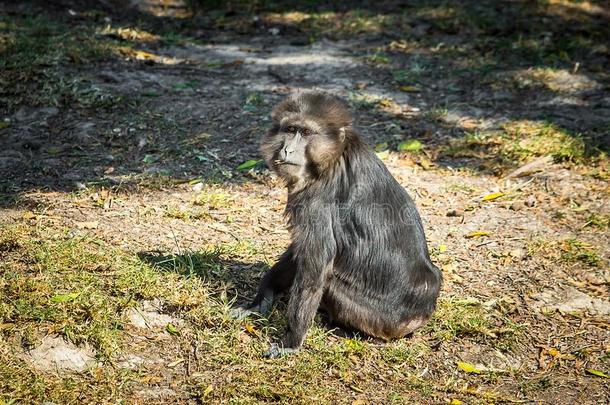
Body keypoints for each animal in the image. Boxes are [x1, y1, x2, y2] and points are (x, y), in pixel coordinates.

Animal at [232, 90, 436, 356]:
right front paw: (260, 301)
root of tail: (421, 312)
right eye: (290, 129)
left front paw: (291, 341)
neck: (335, 155)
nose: (288, 150)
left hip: (379, 320)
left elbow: (314, 271)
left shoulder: (316, 198)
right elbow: (298, 254)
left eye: (305, 132)